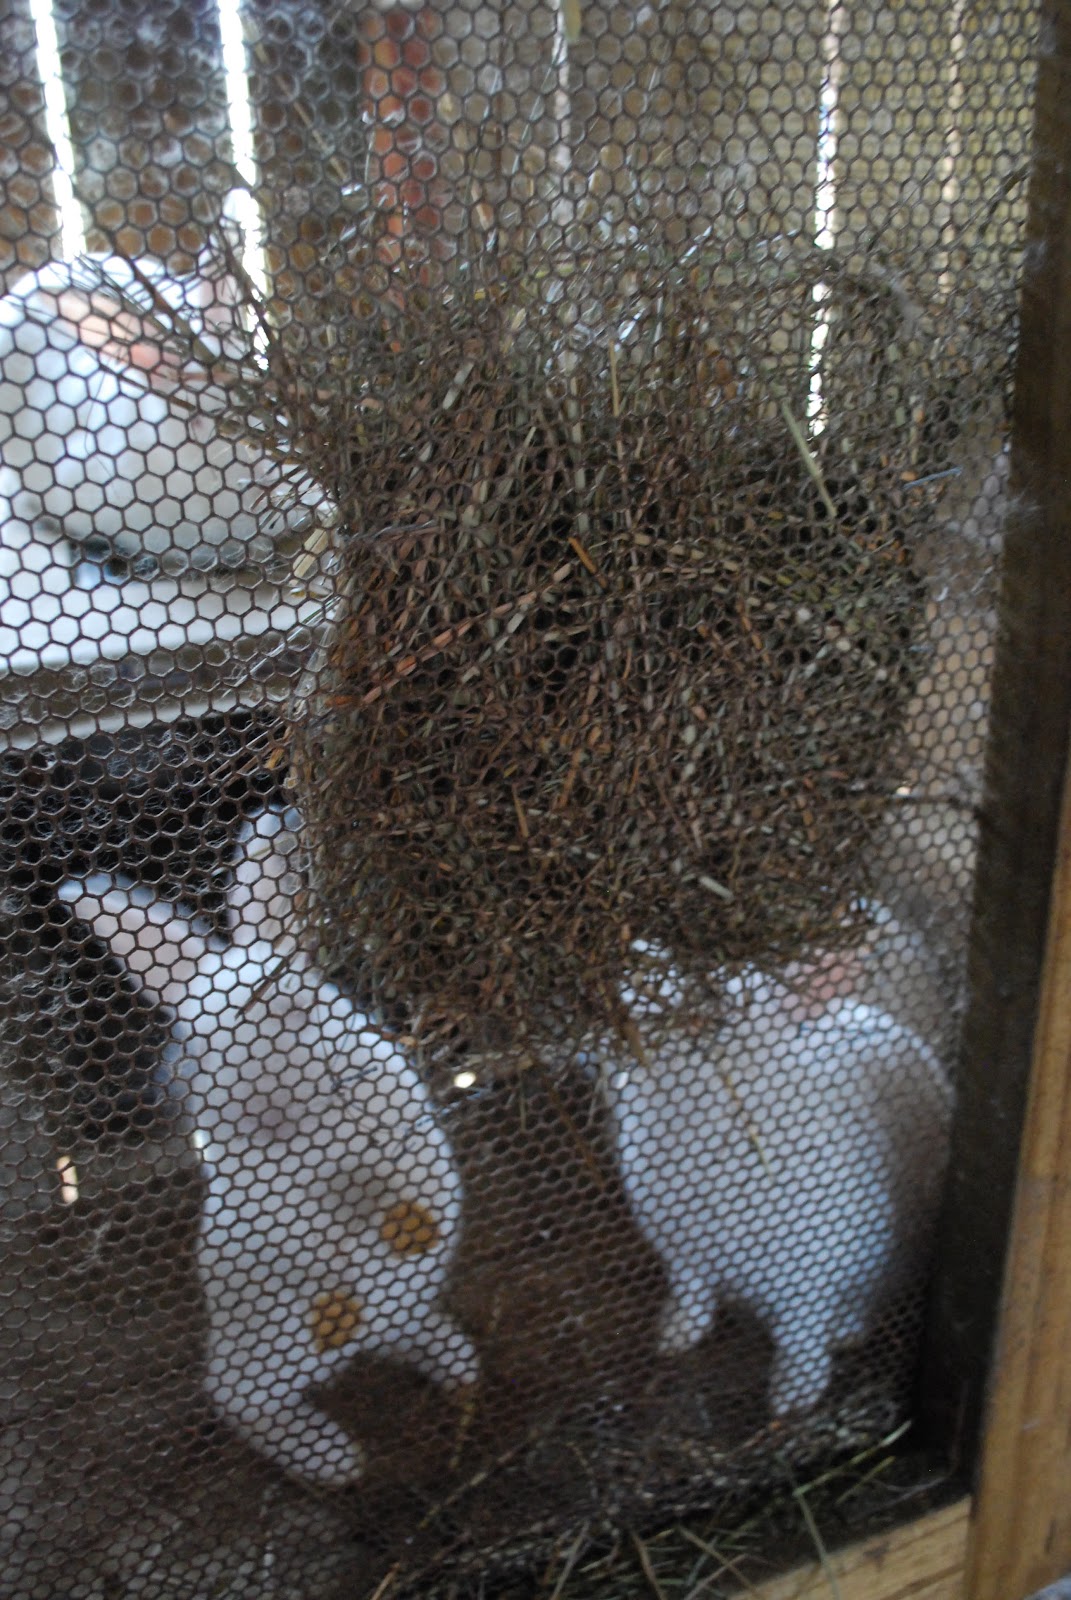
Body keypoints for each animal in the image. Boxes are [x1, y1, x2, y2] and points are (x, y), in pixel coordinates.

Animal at [58, 806, 478, 1487]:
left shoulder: (391, 1121)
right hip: (274, 1345)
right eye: (202, 1040)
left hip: (395, 1307)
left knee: (398, 1332)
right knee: (237, 1399)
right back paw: (333, 1452)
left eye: (295, 1004)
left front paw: (405, 1226)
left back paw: (456, 1362)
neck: (310, 1120)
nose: (261, 1108)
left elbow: (398, 1176)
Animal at [603, 935, 952, 1418]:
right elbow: (692, 1295)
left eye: (713, 997)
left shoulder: (809, 1278)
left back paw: (846, 1333)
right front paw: (673, 1335)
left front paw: (791, 1398)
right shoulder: (683, 1253)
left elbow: (800, 1336)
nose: (630, 956)